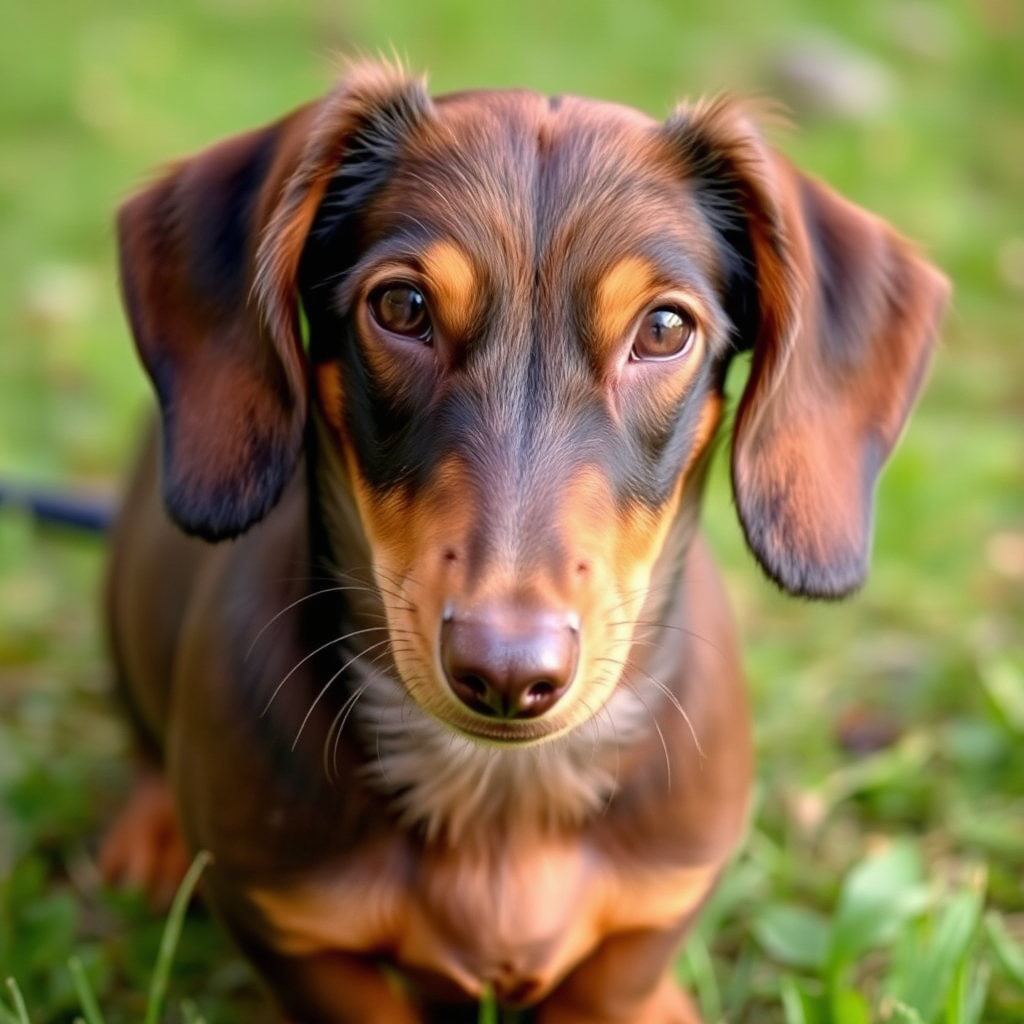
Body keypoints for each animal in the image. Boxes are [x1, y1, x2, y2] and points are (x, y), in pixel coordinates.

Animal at [99, 61, 946, 1024]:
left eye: (665, 328)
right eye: (401, 306)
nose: (507, 675)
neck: (501, 796)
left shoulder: (656, 911)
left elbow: (615, 980)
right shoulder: (284, 926)